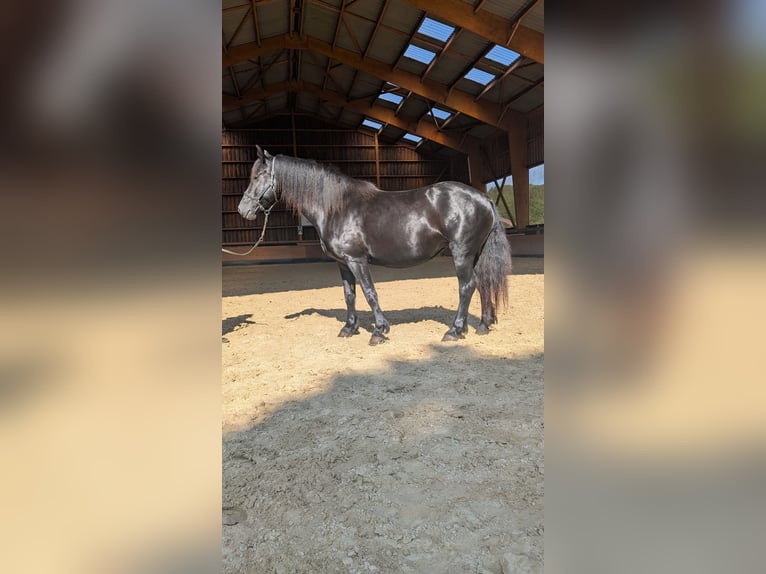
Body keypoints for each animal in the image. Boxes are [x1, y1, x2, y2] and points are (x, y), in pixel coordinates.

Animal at [237, 145, 512, 346]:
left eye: (258, 176)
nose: (243, 210)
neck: (337, 207)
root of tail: (483, 198)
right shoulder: (343, 263)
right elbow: (349, 295)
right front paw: (349, 328)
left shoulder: (356, 260)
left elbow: (369, 292)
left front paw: (379, 331)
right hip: (475, 253)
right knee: (483, 283)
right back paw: (482, 325)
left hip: (461, 252)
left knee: (467, 286)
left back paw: (454, 331)